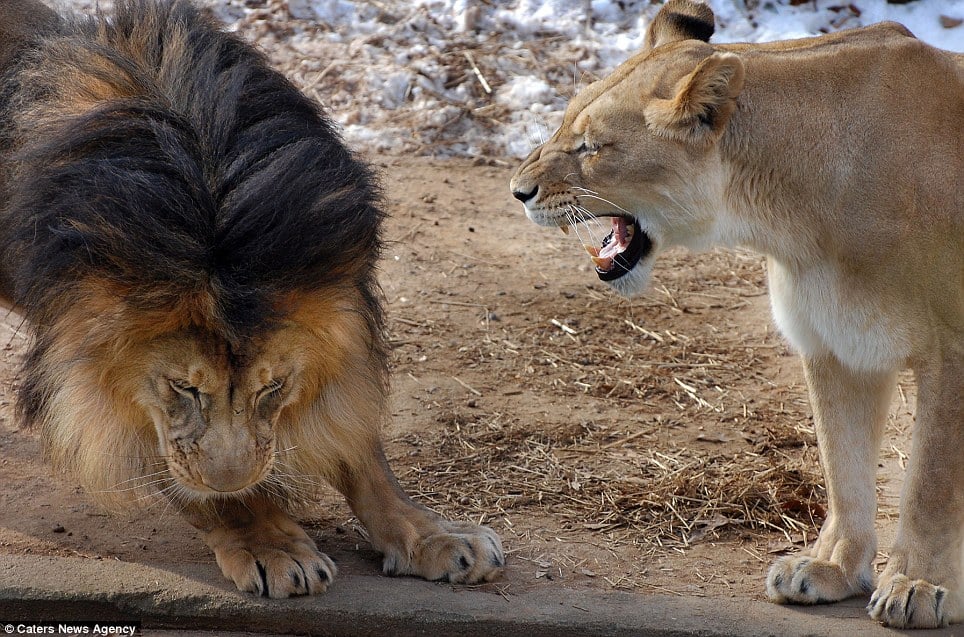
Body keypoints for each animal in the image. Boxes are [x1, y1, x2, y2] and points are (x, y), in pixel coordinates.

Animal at [0, 0, 508, 596]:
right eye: (183, 387)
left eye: (274, 386)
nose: (232, 481)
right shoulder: (90, 376)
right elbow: (199, 482)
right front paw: (270, 544)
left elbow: (364, 453)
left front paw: (434, 536)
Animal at [508, 0, 960, 628]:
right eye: (565, 125)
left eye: (592, 147)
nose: (518, 191)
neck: (794, 219)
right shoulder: (836, 343)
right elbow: (842, 465)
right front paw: (832, 568)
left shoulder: (952, 351)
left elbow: (931, 484)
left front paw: (919, 584)